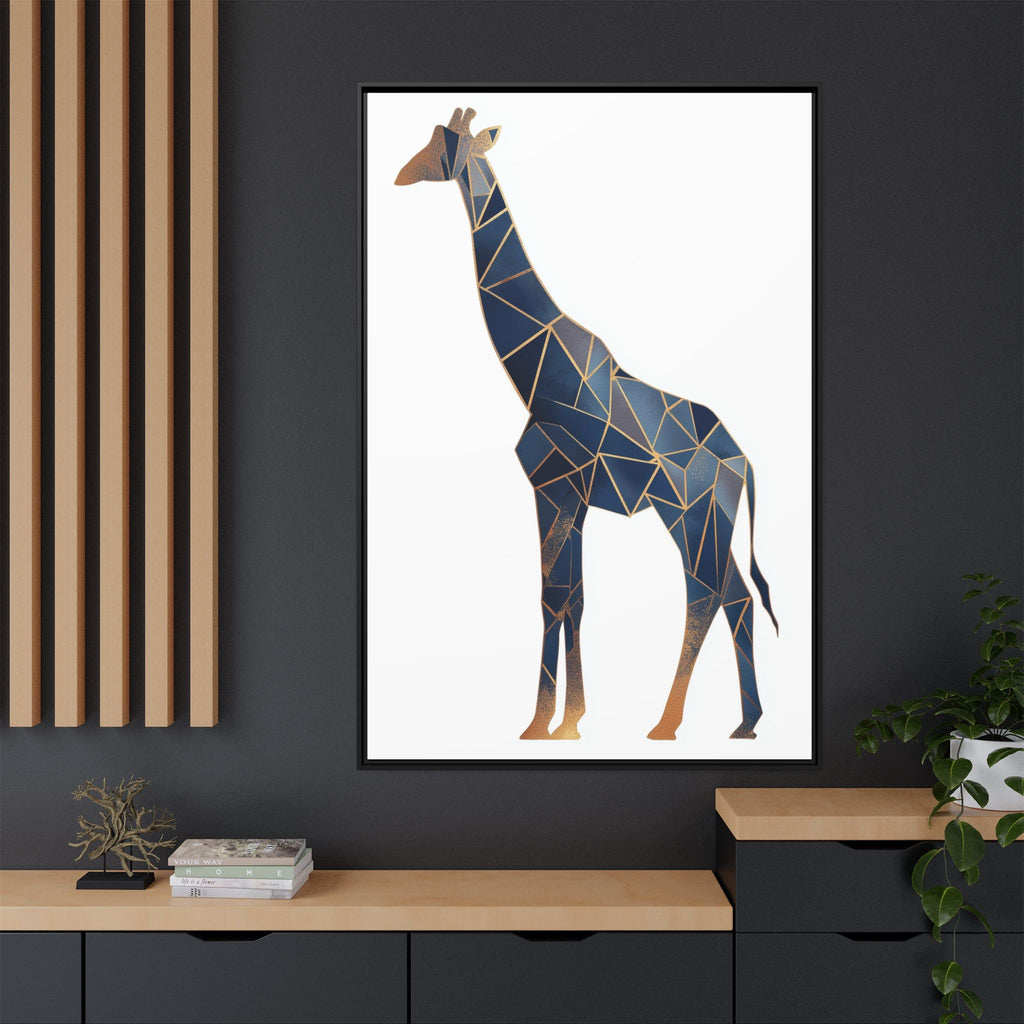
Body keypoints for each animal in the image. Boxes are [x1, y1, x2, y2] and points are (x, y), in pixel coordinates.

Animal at [395, 107, 778, 742]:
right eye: (430, 138)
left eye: (445, 145)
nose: (402, 174)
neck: (536, 373)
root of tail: (742, 462)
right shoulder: (567, 497)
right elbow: (570, 597)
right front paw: (563, 720)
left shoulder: (555, 487)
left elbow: (555, 597)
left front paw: (547, 723)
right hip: (709, 519)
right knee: (736, 597)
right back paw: (745, 723)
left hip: (689, 514)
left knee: (705, 595)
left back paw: (667, 724)